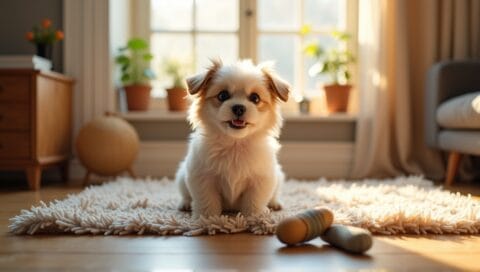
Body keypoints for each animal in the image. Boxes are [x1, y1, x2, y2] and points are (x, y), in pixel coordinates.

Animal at [175, 59, 290, 219]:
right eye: (223, 95)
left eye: (255, 98)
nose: (239, 108)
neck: (235, 144)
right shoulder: (202, 177)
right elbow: (207, 199)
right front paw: (207, 218)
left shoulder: (261, 179)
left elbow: (254, 199)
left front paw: (255, 217)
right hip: (181, 177)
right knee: (185, 194)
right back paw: (185, 204)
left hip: (278, 177)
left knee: (274, 194)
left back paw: (275, 204)